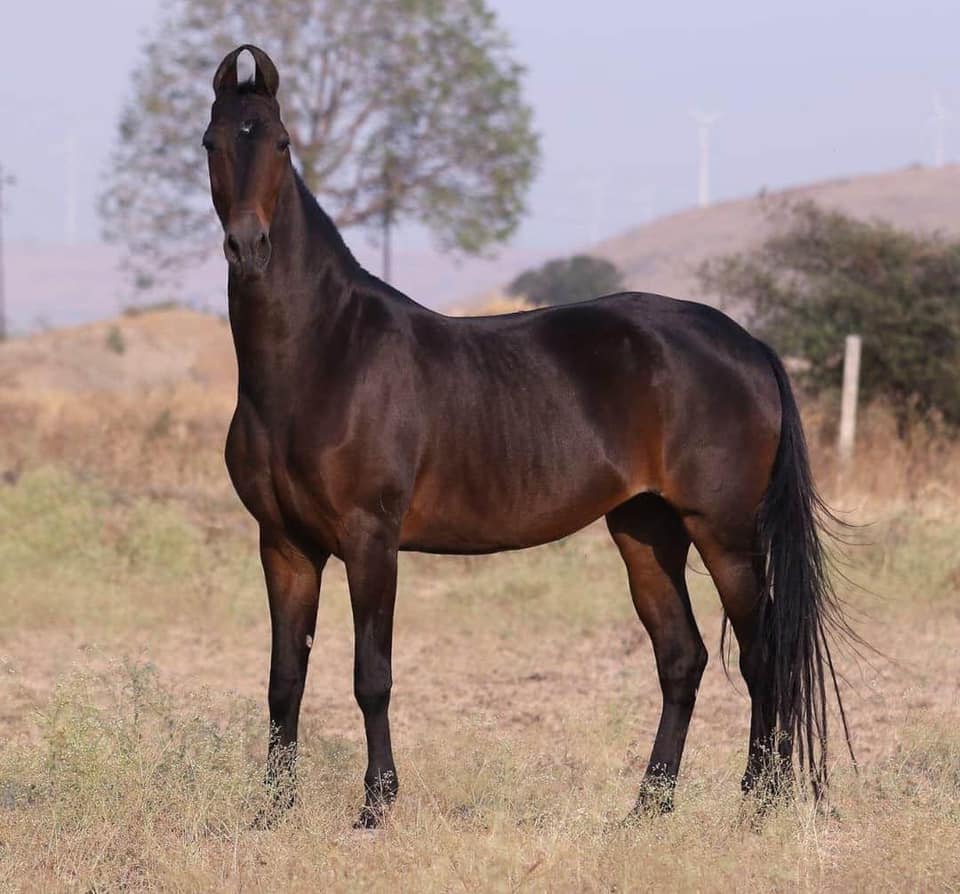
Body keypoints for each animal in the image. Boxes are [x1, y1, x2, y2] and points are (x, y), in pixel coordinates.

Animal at [204, 44, 854, 829]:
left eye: (280, 143)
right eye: (211, 143)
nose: (248, 247)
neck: (324, 353)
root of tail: (749, 343)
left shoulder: (370, 538)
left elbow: (371, 675)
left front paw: (376, 806)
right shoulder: (284, 544)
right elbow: (284, 680)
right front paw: (270, 814)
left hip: (723, 533)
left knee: (762, 656)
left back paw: (756, 805)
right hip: (645, 529)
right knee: (683, 657)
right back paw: (648, 808)